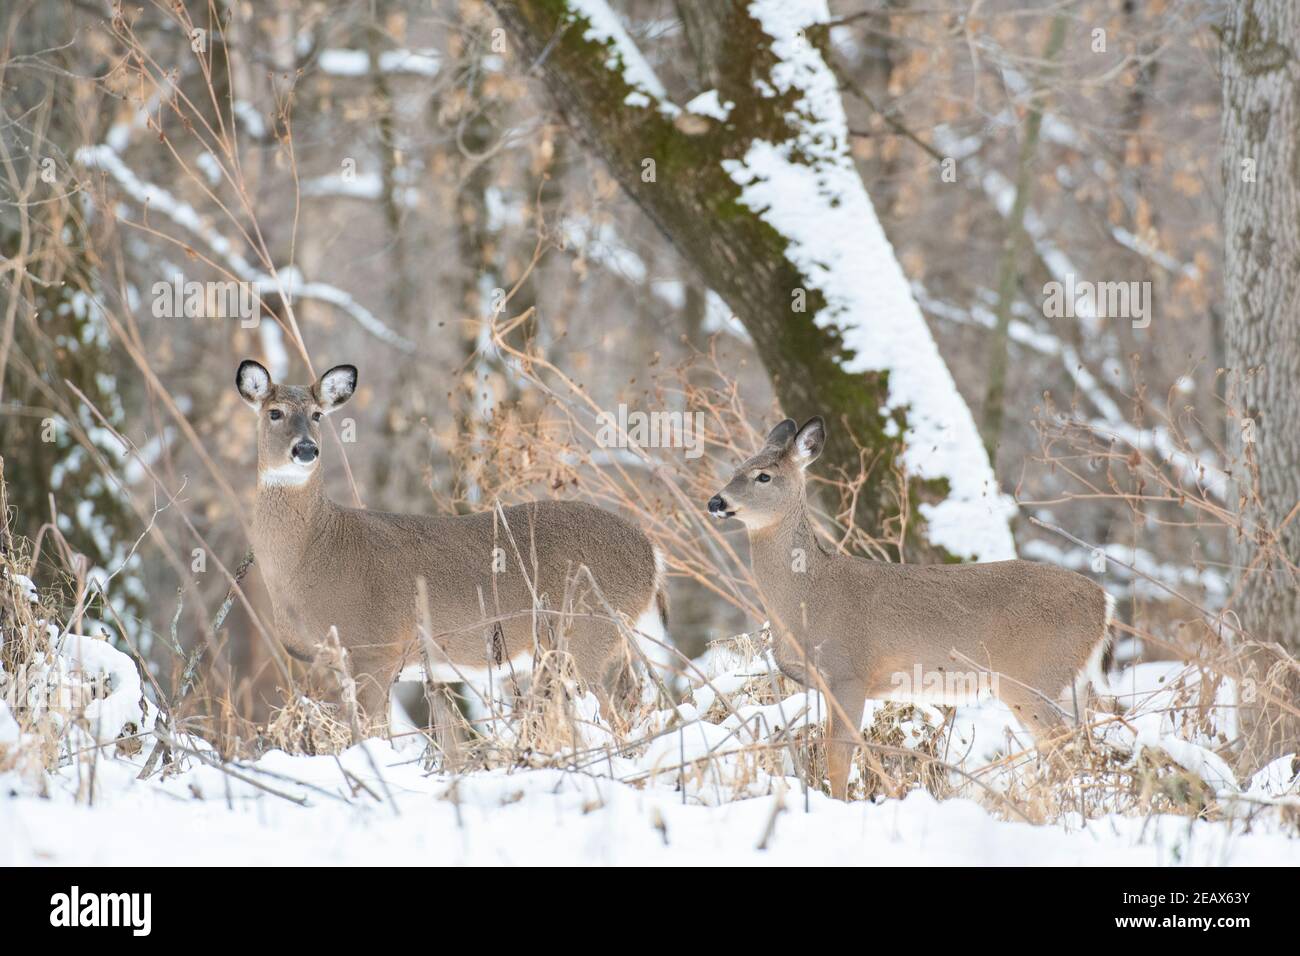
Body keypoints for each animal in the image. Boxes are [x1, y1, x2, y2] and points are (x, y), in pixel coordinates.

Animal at [235, 358, 676, 723]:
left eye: (317, 415)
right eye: (274, 412)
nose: (306, 449)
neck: (312, 555)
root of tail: (652, 555)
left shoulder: (376, 648)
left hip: (587, 630)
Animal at [707, 418, 1112, 801]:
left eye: (763, 475)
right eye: (736, 468)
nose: (716, 502)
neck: (808, 596)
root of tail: (1104, 603)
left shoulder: (849, 673)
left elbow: (838, 757)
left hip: (1033, 675)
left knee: (1066, 748)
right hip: (1063, 683)